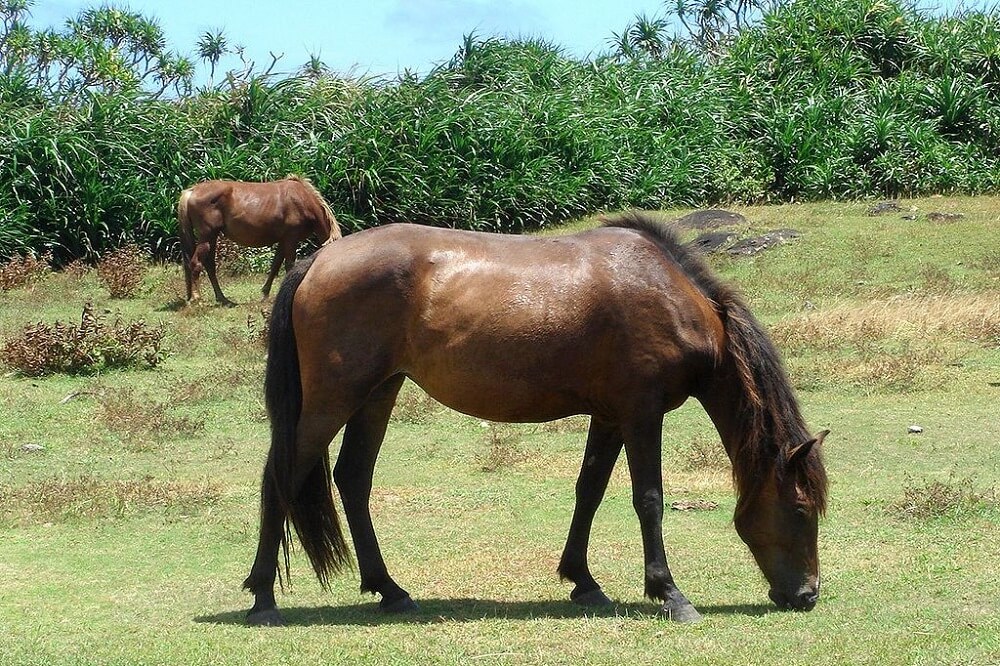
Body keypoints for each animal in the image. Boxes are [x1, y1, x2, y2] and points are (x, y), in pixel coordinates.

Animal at [182, 174, 346, 304]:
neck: (302, 200)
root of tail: (192, 191)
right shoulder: (290, 239)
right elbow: (289, 265)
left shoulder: (283, 240)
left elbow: (275, 265)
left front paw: (265, 294)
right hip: (207, 236)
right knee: (196, 263)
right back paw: (197, 298)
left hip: (212, 237)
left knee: (209, 265)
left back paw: (223, 299)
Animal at [242, 211, 828, 624]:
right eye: (801, 510)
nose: (806, 595)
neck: (669, 296)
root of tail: (316, 262)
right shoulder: (641, 414)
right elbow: (649, 500)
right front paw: (669, 593)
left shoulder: (610, 416)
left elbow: (589, 490)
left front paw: (583, 581)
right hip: (333, 400)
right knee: (282, 476)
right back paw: (263, 597)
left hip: (378, 394)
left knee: (352, 479)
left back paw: (390, 591)